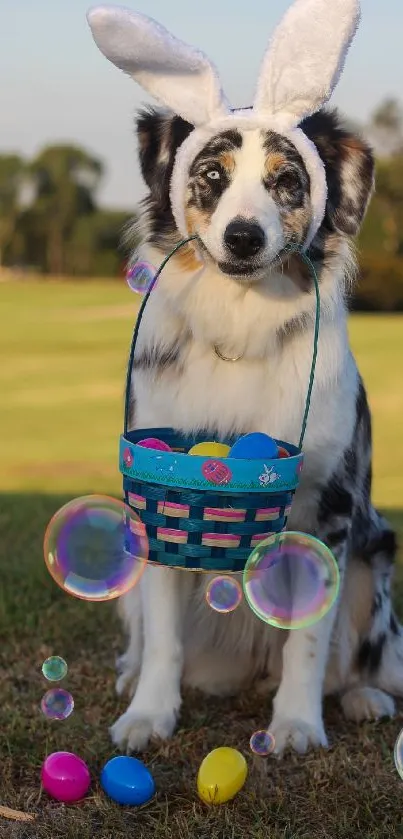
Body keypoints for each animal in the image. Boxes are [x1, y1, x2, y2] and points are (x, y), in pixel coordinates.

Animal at [107, 103, 403, 756]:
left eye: (287, 181)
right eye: (212, 174)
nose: (244, 236)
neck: (241, 324)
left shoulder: (332, 510)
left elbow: (309, 642)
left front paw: (296, 724)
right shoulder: (161, 494)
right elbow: (163, 635)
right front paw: (150, 714)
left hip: (374, 561)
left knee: (360, 659)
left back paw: (365, 699)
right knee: (142, 634)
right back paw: (131, 673)